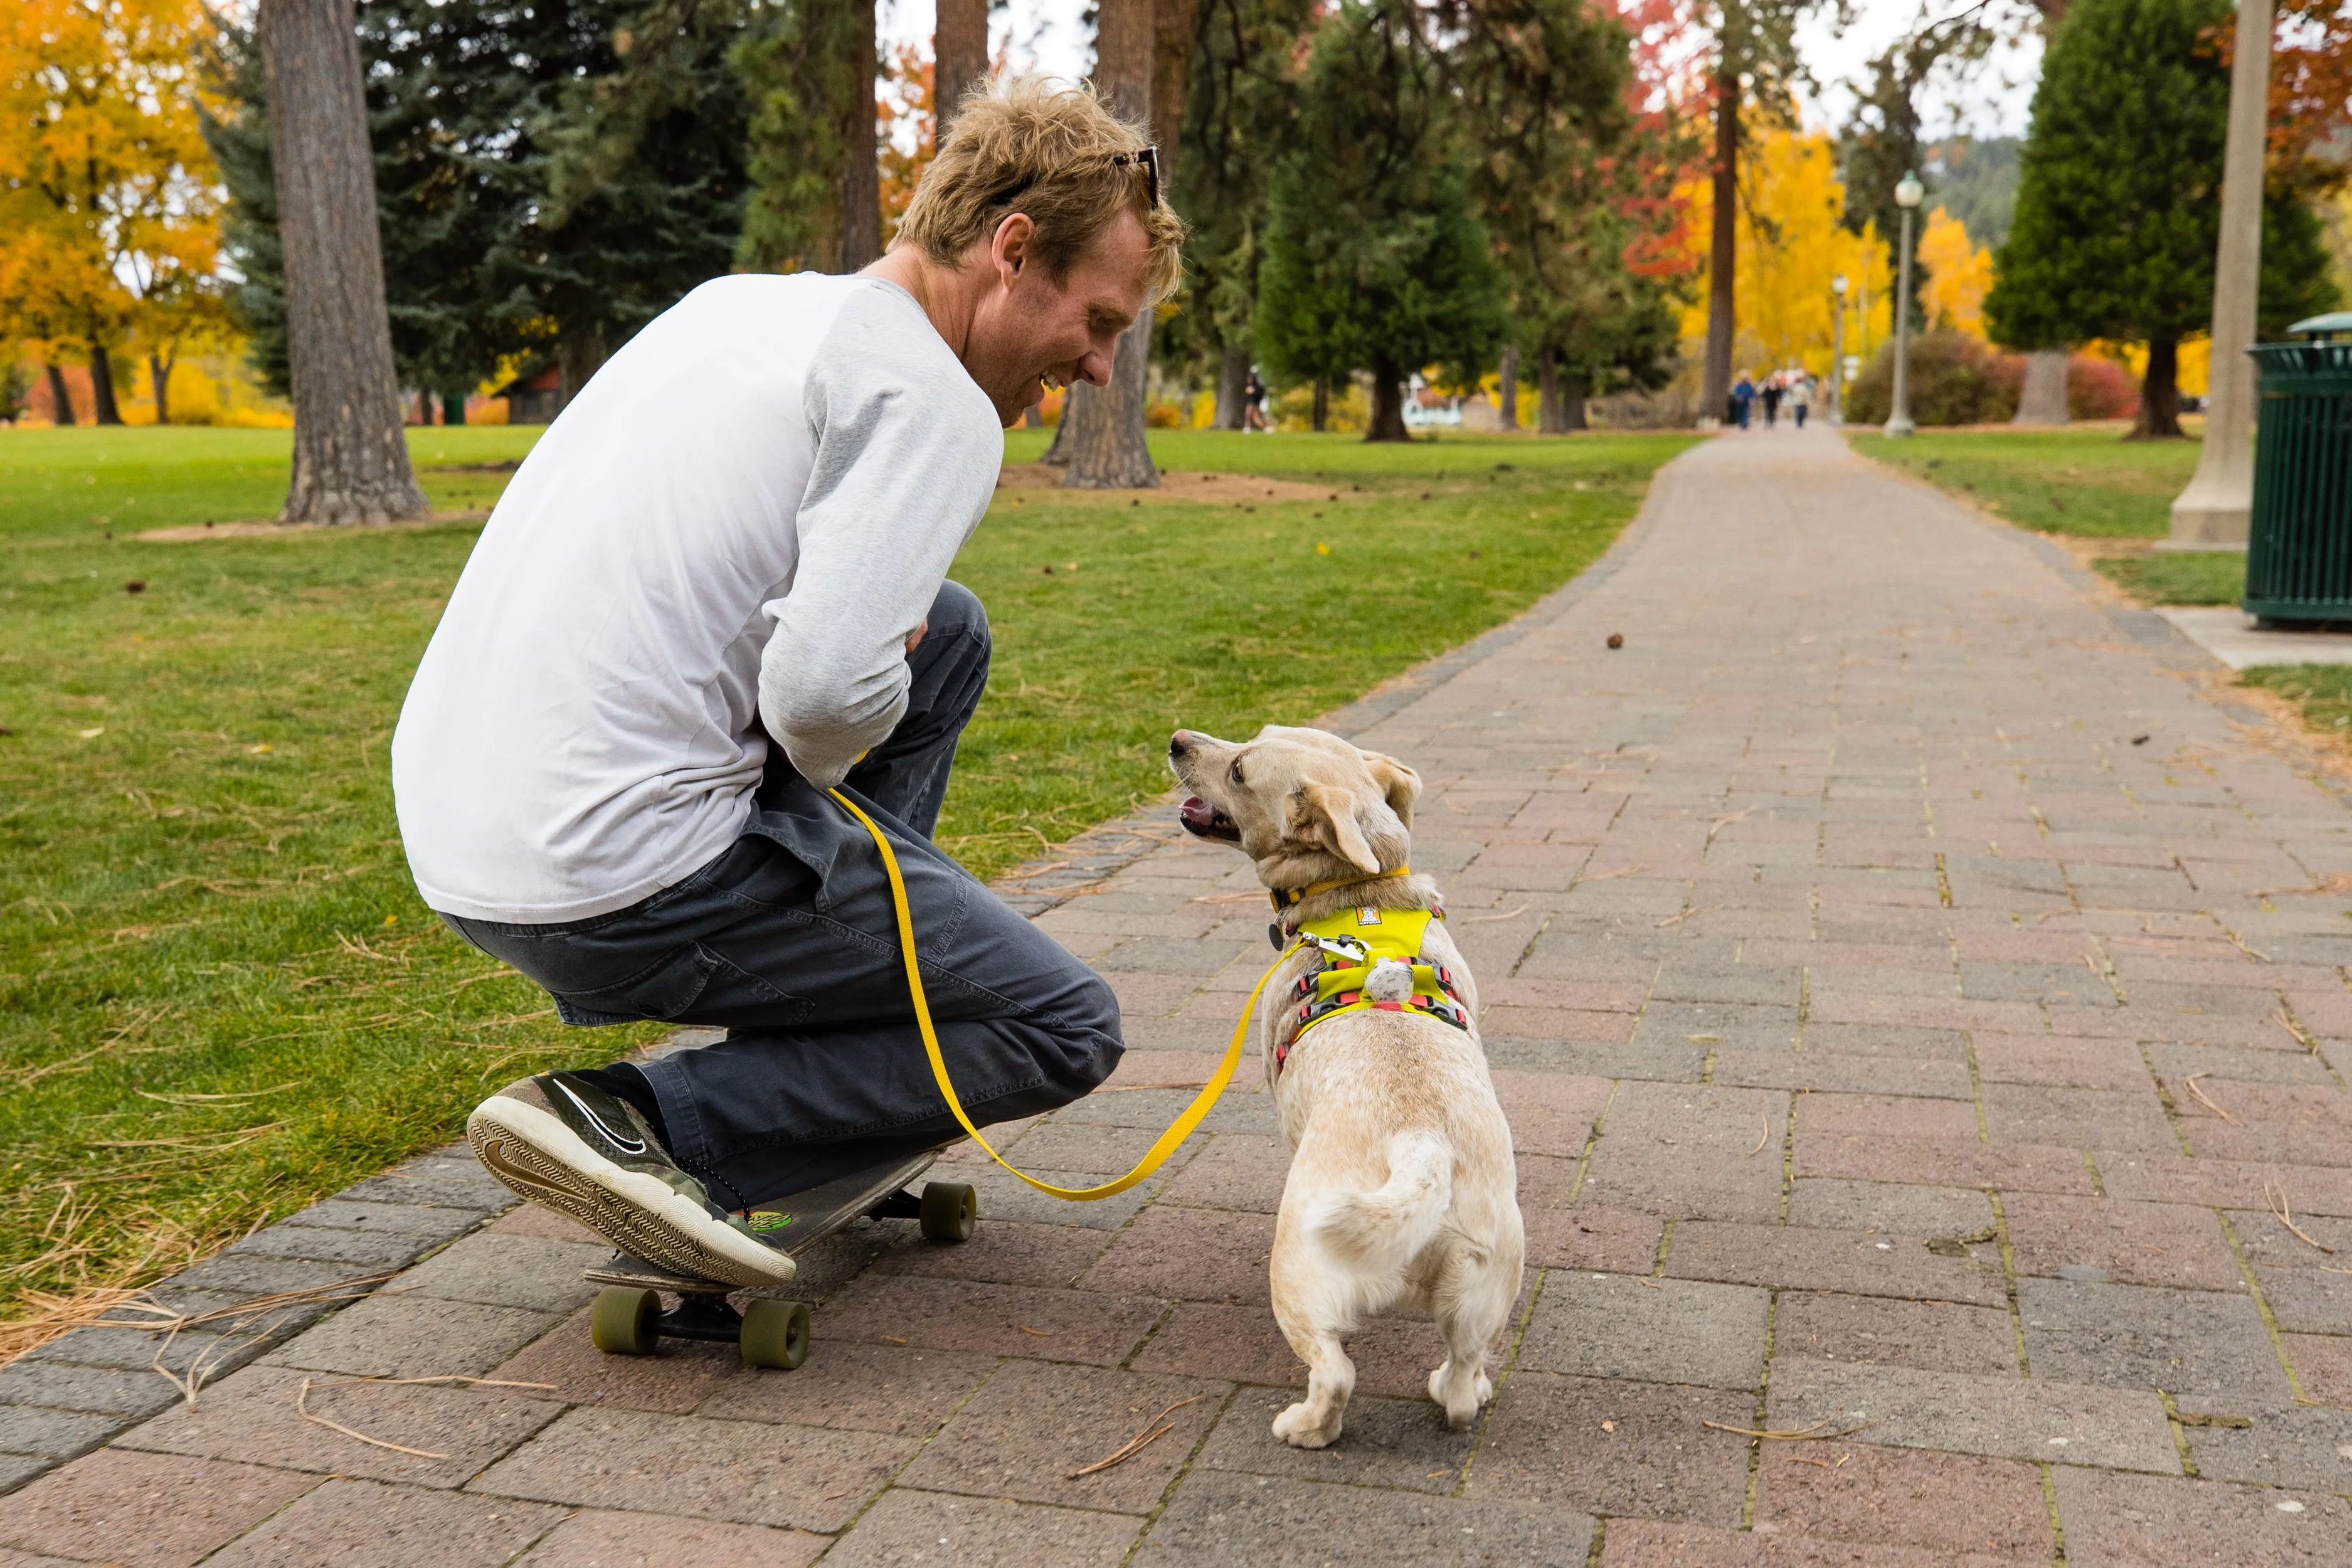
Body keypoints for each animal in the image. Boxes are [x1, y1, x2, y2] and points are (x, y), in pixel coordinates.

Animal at [1171, 728, 1524, 1457]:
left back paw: (1303, 1428)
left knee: (1335, 1373)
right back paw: (1461, 1388)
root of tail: (1421, 1146)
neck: (1363, 891)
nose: (1177, 740)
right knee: (1461, 1380)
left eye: (1240, 768)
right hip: (1488, 1287)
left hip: (1299, 1274)